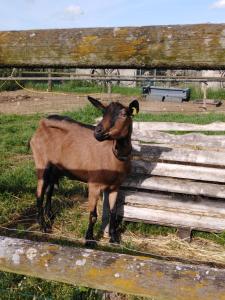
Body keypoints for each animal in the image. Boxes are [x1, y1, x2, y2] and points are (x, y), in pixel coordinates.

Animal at [29, 97, 139, 243]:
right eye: (103, 112)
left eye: (124, 114)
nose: (98, 132)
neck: (114, 156)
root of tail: (42, 123)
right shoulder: (94, 184)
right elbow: (93, 214)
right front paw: (89, 239)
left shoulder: (116, 186)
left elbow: (113, 212)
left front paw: (113, 237)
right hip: (41, 161)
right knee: (39, 193)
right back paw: (43, 226)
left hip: (55, 167)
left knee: (49, 190)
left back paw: (50, 216)